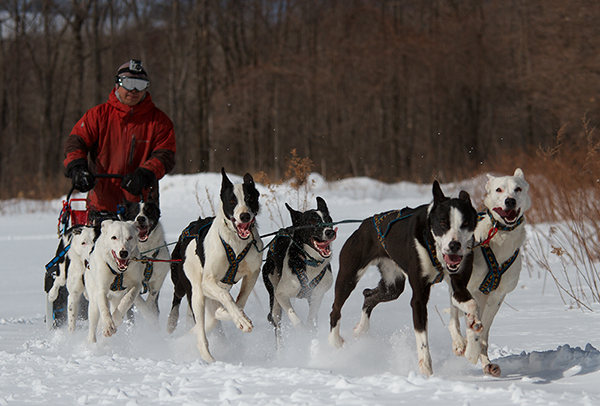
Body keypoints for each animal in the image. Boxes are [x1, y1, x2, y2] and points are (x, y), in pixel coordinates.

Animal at [168, 167, 264, 364]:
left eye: (250, 198)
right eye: (232, 200)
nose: (244, 215)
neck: (235, 243)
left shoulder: (252, 273)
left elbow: (239, 302)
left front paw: (229, 314)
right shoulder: (208, 282)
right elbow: (227, 297)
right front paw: (241, 320)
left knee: (209, 319)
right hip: (195, 290)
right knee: (191, 315)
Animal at [262, 197, 338, 348]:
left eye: (329, 219)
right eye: (312, 221)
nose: (330, 232)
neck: (310, 262)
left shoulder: (316, 294)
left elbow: (311, 317)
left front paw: (309, 332)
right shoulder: (281, 294)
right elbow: (295, 318)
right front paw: (302, 334)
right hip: (274, 297)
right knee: (277, 325)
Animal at [326, 182, 480, 378]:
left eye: (465, 223)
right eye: (443, 222)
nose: (454, 245)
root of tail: (365, 224)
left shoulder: (458, 283)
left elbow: (469, 306)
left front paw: (468, 344)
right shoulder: (419, 298)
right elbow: (422, 338)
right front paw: (426, 371)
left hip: (392, 286)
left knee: (368, 295)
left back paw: (360, 329)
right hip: (349, 275)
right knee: (335, 308)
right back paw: (334, 340)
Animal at [448, 168, 532, 378]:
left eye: (518, 189)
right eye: (499, 189)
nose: (510, 201)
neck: (500, 238)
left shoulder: (497, 296)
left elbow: (483, 328)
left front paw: (479, 352)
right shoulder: (467, 289)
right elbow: (470, 319)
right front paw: (469, 349)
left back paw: (486, 362)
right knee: (453, 319)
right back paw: (460, 343)